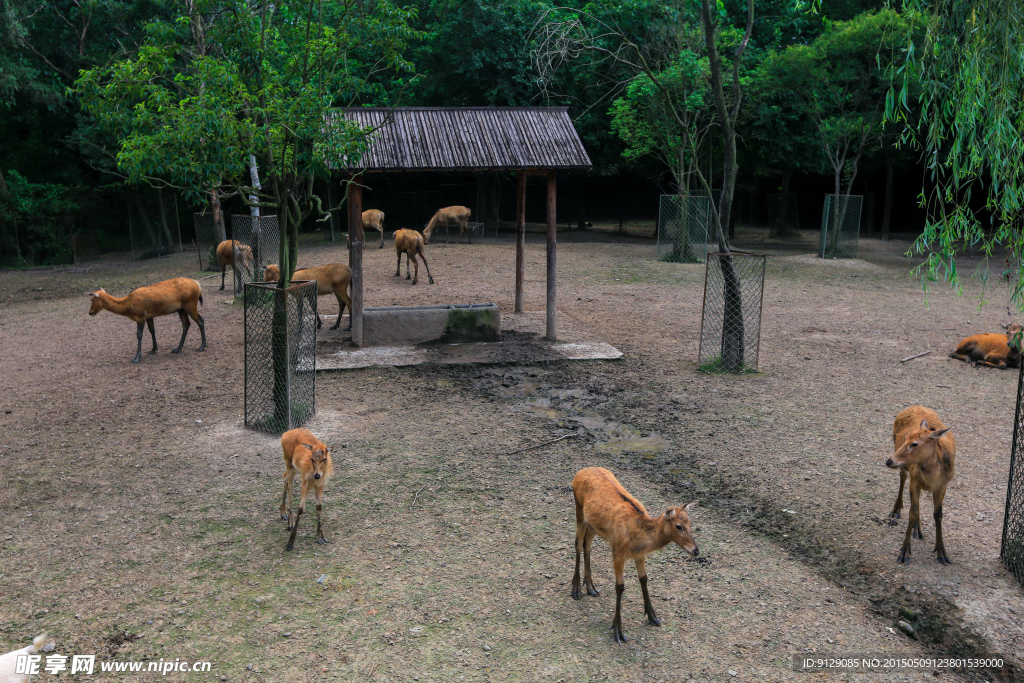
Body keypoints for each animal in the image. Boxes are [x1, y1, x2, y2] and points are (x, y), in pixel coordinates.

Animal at [573, 464, 700, 643]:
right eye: (678, 526)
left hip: (593, 525)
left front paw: (653, 617)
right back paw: (576, 590)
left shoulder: (640, 556)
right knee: (578, 544)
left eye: (690, 523)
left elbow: (644, 579)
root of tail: (581, 471)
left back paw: (591, 588)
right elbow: (619, 586)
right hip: (579, 511)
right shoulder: (618, 550)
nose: (695, 550)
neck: (639, 539)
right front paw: (618, 631)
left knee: (587, 544)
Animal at [884, 405, 954, 565]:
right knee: (903, 478)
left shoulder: (943, 486)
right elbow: (912, 513)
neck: (932, 478)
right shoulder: (914, 480)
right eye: (906, 438)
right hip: (905, 468)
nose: (889, 461)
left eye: (914, 443)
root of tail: (915, 405)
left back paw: (918, 530)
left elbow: (938, 515)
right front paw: (904, 553)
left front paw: (942, 554)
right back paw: (896, 510)